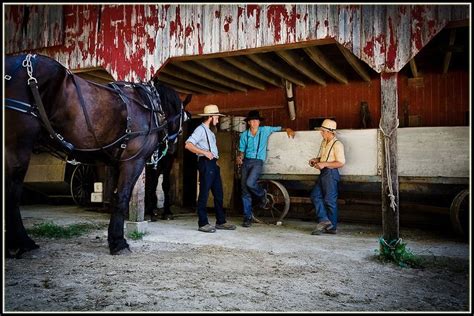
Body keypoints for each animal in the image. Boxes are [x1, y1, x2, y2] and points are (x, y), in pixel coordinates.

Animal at [5, 53, 191, 256]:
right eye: (183, 120)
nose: (171, 150)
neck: (150, 105)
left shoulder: (118, 162)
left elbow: (116, 197)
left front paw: (113, 237)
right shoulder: (134, 161)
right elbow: (123, 197)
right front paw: (119, 242)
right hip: (18, 148)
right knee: (12, 193)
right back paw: (23, 243)